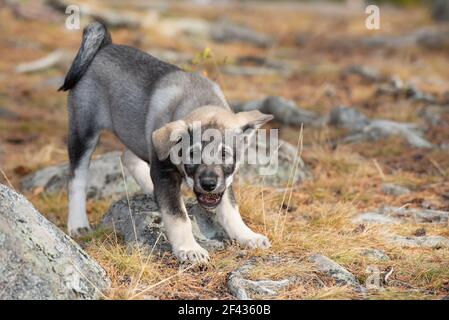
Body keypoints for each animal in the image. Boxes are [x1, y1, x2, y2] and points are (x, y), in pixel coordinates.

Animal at [60, 21, 272, 262]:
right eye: (191, 155)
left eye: (225, 154)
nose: (208, 184)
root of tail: (105, 46)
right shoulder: (164, 172)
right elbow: (178, 216)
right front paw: (189, 248)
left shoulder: (222, 182)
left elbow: (230, 208)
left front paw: (247, 235)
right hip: (83, 131)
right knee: (76, 178)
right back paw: (78, 223)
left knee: (127, 155)